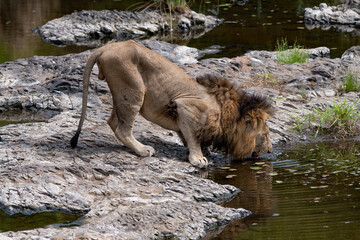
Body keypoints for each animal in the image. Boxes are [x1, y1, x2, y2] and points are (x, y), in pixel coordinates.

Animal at [70, 39, 274, 167]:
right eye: (265, 134)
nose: (271, 150)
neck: (227, 114)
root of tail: (105, 48)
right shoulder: (185, 107)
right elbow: (193, 137)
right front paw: (198, 158)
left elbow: (189, 135)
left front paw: (205, 152)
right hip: (134, 89)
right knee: (122, 128)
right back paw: (142, 149)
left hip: (122, 92)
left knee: (113, 121)